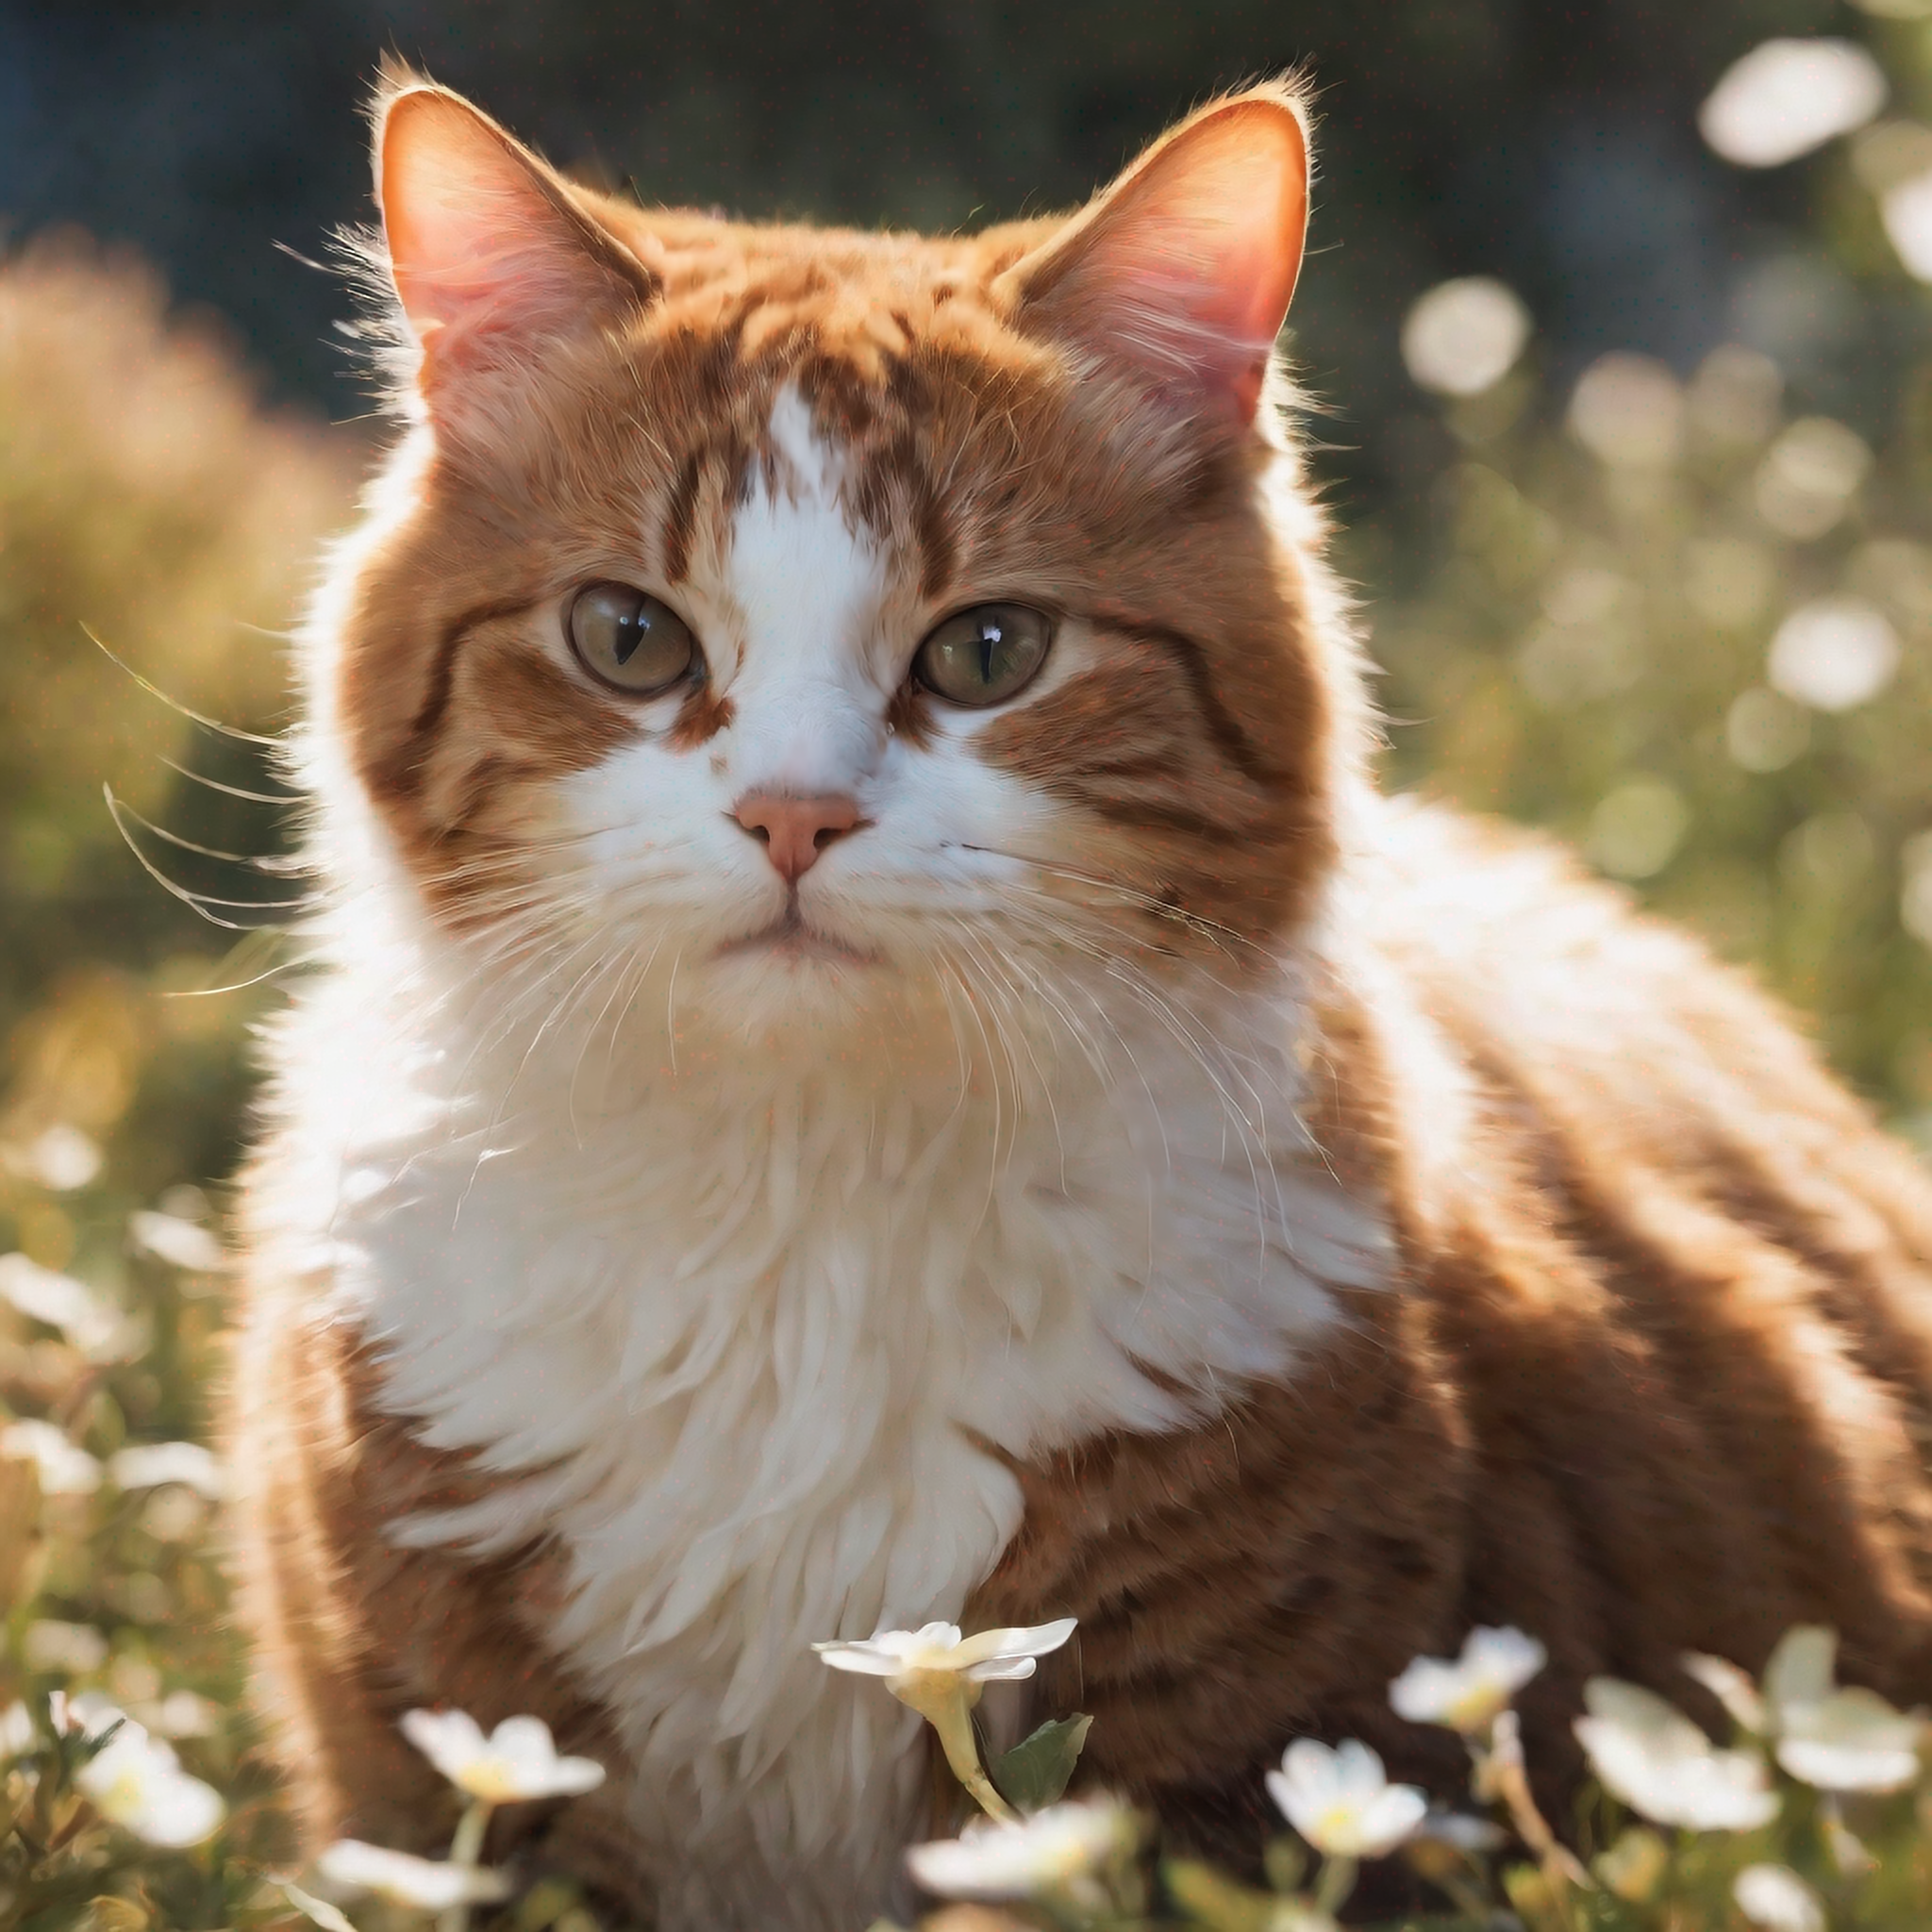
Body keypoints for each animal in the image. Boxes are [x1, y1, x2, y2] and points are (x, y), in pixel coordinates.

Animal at [229, 60, 1932, 1932]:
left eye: (989, 653)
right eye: (628, 638)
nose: (793, 816)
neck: (799, 1232)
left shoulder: (1226, 1776)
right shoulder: (450, 1786)